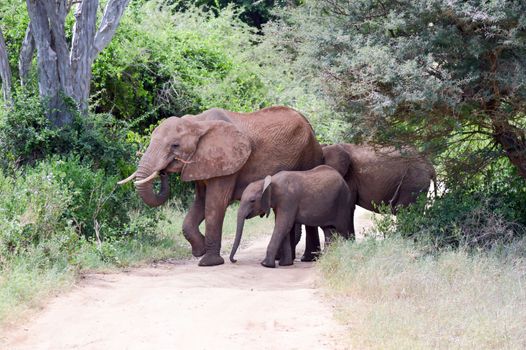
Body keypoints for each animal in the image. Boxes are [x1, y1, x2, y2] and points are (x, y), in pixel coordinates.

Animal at [118, 106, 326, 266]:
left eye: (175, 146)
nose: (162, 172)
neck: (197, 123)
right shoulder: (203, 162)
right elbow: (200, 204)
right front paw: (200, 250)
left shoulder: (227, 163)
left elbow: (214, 204)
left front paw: (208, 262)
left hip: (311, 155)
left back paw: (308, 259)